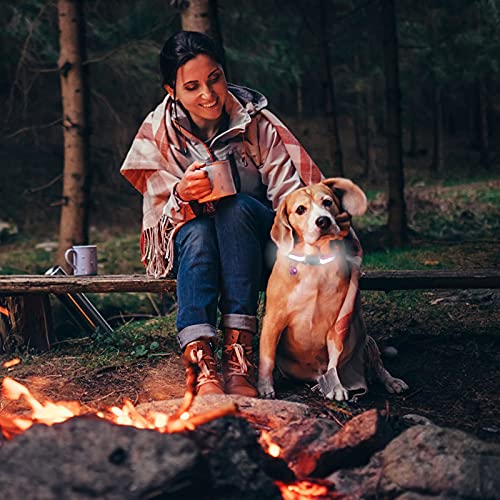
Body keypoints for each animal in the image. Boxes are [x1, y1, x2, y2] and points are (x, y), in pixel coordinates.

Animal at [260, 179, 408, 402]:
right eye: (300, 209)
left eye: (327, 202)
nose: (323, 221)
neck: (315, 262)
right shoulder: (273, 321)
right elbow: (267, 358)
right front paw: (264, 387)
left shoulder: (337, 324)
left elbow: (334, 361)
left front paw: (337, 387)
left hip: (366, 340)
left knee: (379, 366)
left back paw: (392, 381)